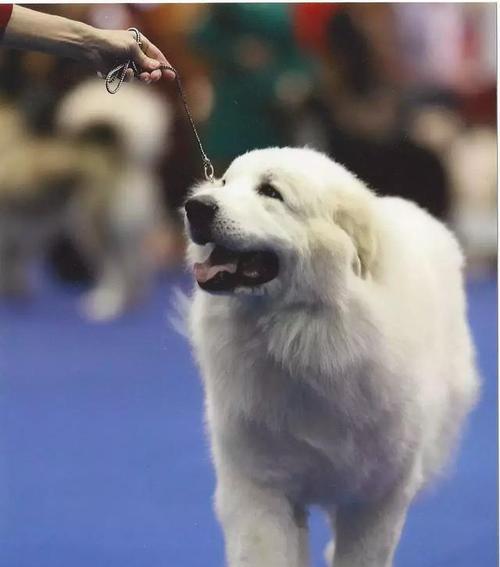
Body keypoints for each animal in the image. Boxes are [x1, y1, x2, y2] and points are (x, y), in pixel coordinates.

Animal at [0, 79, 172, 320]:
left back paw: (106, 306)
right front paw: (15, 291)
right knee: (138, 266)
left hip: (94, 226)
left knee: (117, 270)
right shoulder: (21, 231)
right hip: (126, 232)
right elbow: (14, 263)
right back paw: (134, 301)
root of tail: (120, 155)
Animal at [185, 148, 480, 567]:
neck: (303, 338)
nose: (195, 207)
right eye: (224, 182)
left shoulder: (377, 494)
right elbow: (264, 549)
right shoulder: (260, 486)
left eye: (270, 192)